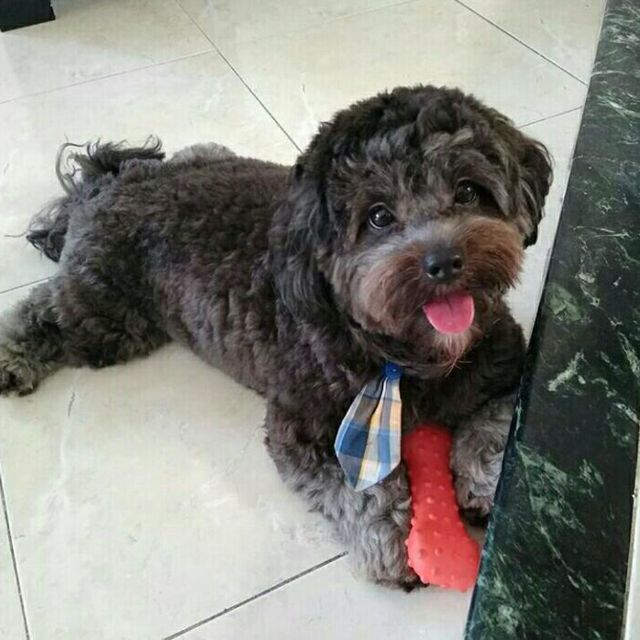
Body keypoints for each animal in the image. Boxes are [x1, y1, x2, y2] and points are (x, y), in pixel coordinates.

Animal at [0, 85, 551, 588]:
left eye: (468, 191)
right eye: (378, 215)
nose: (444, 261)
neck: (403, 356)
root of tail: (110, 183)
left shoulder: (505, 366)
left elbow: (492, 426)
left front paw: (483, 483)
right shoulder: (300, 425)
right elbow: (362, 490)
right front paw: (391, 543)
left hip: (201, 159)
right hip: (105, 313)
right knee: (45, 313)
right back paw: (12, 357)